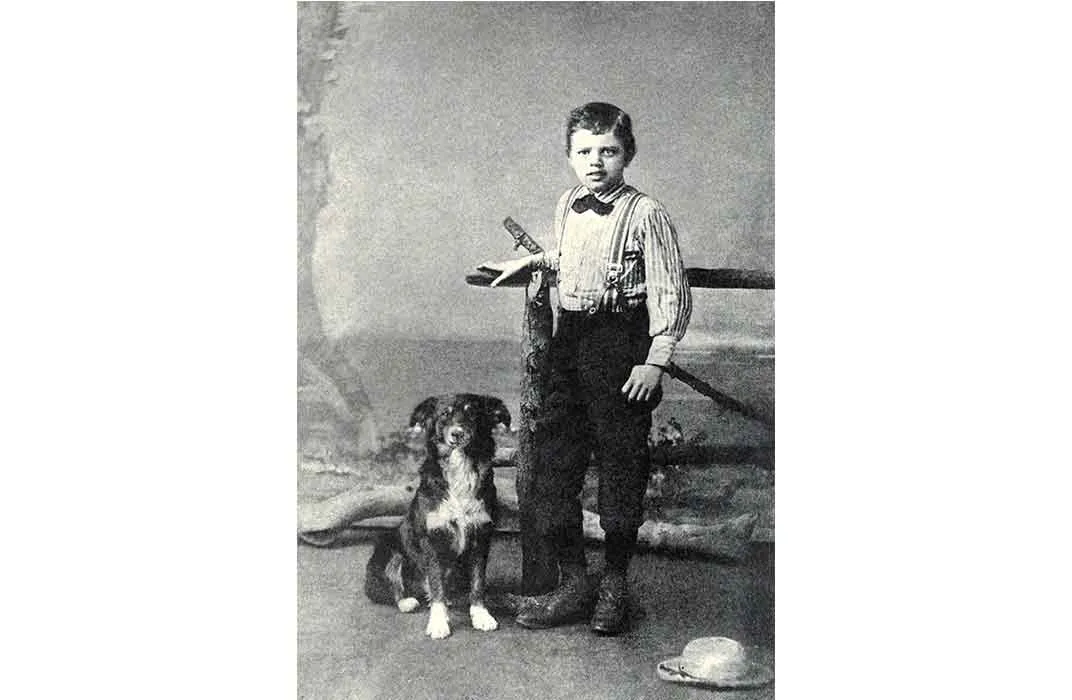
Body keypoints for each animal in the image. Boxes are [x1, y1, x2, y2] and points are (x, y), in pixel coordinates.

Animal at [364, 392, 510, 638]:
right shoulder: (431, 540)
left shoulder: (481, 537)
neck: (460, 469)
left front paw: (481, 615)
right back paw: (407, 601)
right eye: (444, 414)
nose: (457, 433)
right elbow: (436, 582)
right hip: (389, 552)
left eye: (473, 413)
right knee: (389, 586)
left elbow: (478, 583)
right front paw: (439, 622)